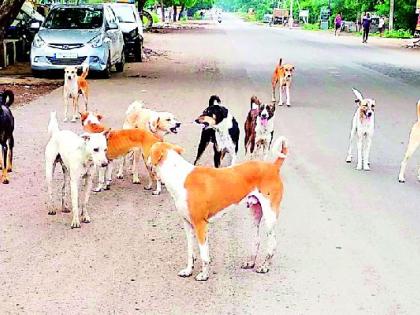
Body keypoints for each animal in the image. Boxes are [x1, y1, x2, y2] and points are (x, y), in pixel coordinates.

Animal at [148, 138, 288, 282]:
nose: (147, 162)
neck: (179, 176)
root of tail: (273, 167)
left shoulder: (200, 225)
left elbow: (204, 254)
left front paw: (204, 275)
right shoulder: (188, 224)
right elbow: (190, 252)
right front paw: (188, 271)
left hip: (269, 217)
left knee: (272, 243)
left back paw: (264, 267)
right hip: (255, 214)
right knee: (257, 240)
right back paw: (251, 262)